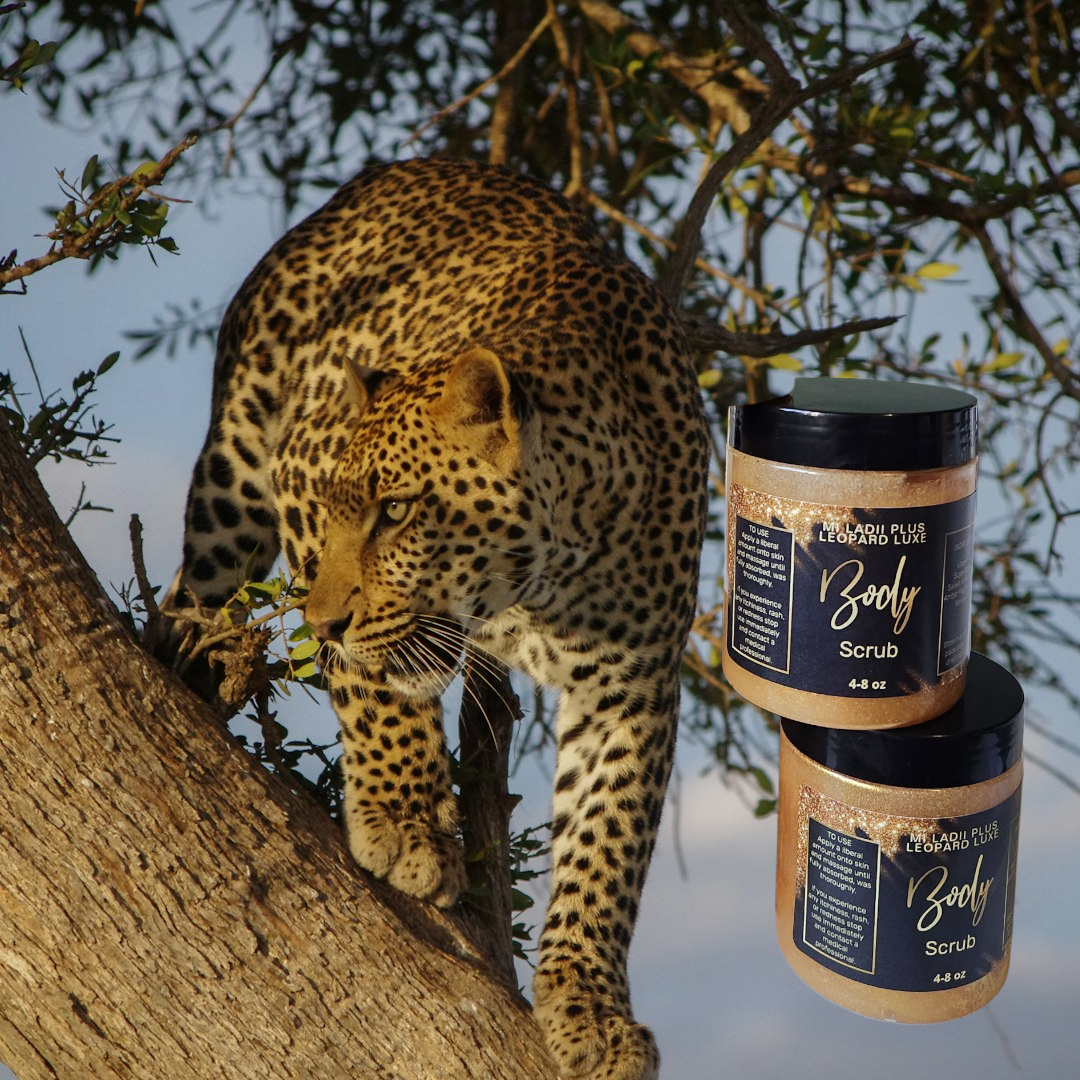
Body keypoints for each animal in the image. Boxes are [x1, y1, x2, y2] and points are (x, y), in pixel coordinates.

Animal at [174, 157, 709, 1080]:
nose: (322, 620)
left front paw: (591, 1011)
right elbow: (375, 690)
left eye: (395, 512)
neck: (545, 576)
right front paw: (405, 823)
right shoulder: (299, 470)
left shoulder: (632, 686)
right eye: (342, 508)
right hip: (235, 476)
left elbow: (608, 846)